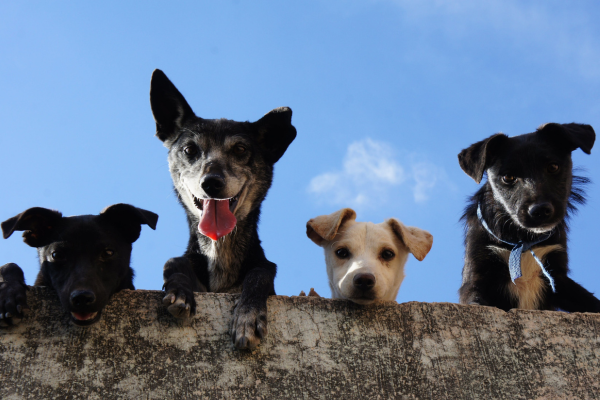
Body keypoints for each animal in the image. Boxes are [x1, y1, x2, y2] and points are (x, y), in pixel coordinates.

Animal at [151, 70, 296, 348]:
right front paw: (179, 291)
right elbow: (172, 261)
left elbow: (260, 273)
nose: (211, 183)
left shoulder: (263, 271)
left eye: (240, 149)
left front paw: (248, 316)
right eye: (189, 149)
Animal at [458, 122, 596, 312]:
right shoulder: (476, 276)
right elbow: (476, 301)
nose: (540, 210)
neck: (522, 241)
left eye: (553, 167)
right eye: (508, 177)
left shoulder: (557, 276)